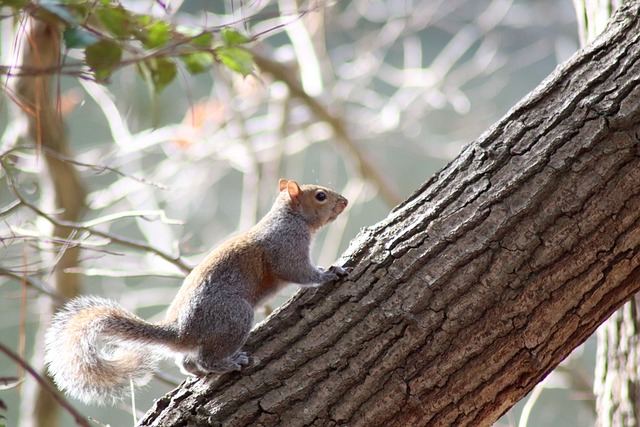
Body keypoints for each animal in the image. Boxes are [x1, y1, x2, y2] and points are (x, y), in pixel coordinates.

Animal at [44, 180, 348, 404]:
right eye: (320, 196)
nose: (344, 202)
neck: (289, 218)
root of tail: (181, 332)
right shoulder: (285, 248)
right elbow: (298, 272)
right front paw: (327, 274)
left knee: (188, 361)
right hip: (234, 316)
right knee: (204, 358)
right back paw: (230, 362)